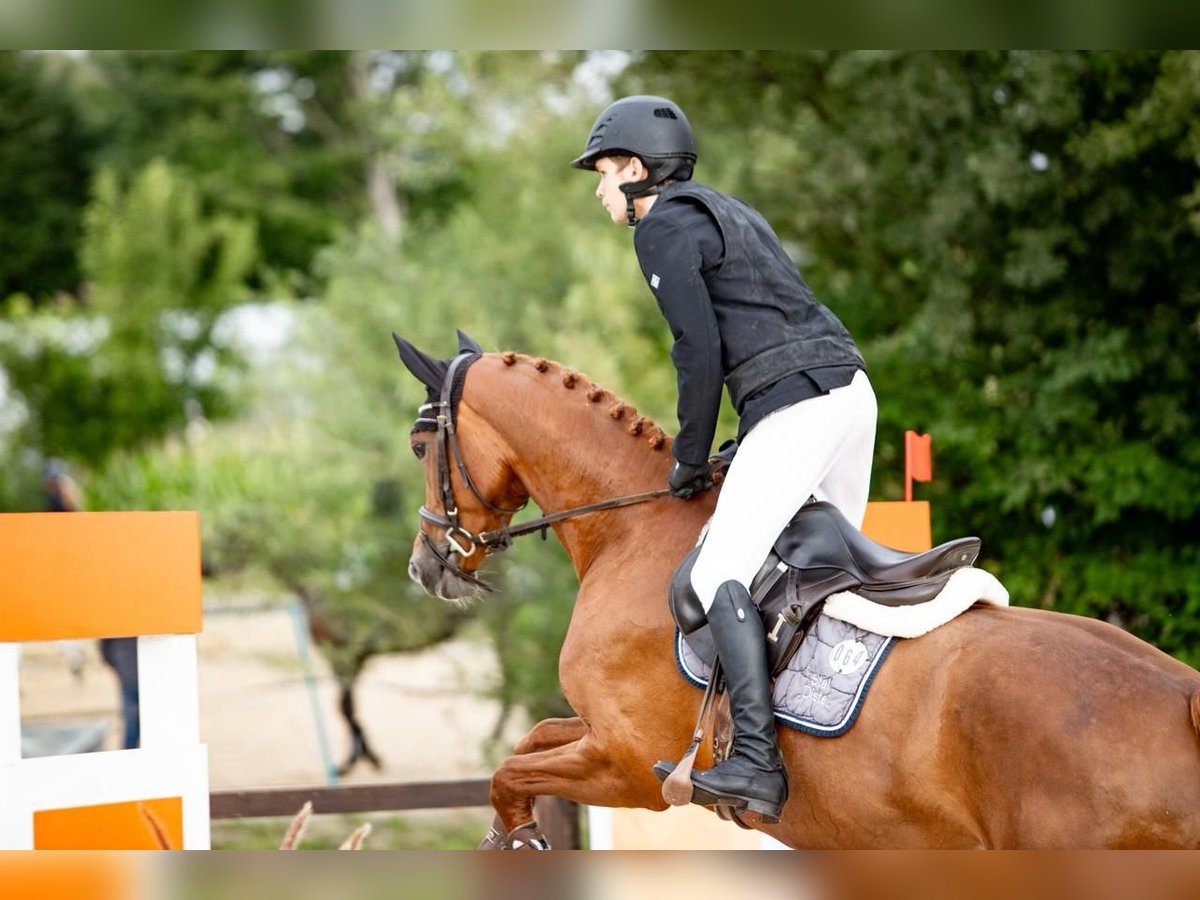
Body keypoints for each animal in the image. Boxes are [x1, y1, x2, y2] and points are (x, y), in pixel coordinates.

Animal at [394, 332, 1200, 848]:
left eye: (420, 445)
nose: (424, 564)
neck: (630, 526)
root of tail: (1182, 702)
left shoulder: (624, 765)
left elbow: (510, 770)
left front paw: (519, 838)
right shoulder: (598, 736)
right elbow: (530, 739)